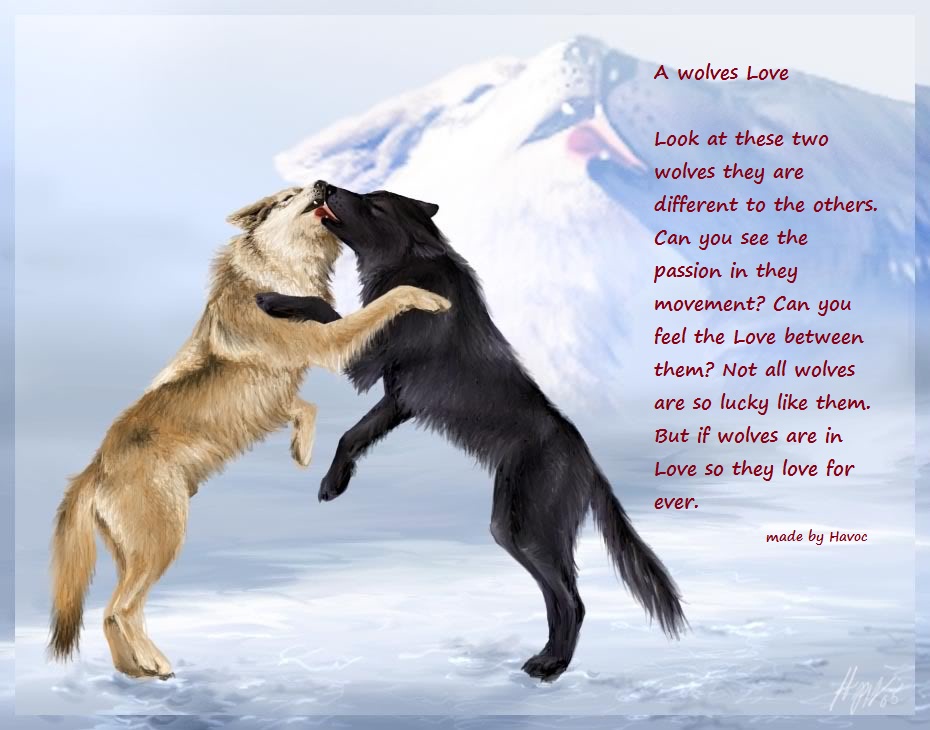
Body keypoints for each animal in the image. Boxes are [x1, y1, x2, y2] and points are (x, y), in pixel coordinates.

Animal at [48, 181, 451, 679]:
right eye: (288, 197)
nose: (322, 184)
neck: (276, 276)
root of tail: (92, 470)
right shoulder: (326, 345)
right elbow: (381, 304)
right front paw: (427, 296)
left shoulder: (282, 393)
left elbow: (304, 408)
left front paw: (301, 451)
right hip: (163, 541)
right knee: (119, 609)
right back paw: (152, 663)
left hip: (139, 551)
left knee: (114, 613)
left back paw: (138, 670)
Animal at [257, 182, 687, 682]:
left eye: (372, 203)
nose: (324, 186)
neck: (413, 262)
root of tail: (591, 465)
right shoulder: (398, 400)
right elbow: (354, 434)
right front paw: (335, 481)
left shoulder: (369, 364)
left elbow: (325, 312)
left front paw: (272, 301)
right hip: (512, 528)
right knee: (557, 599)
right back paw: (546, 658)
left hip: (526, 529)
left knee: (573, 601)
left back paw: (552, 665)